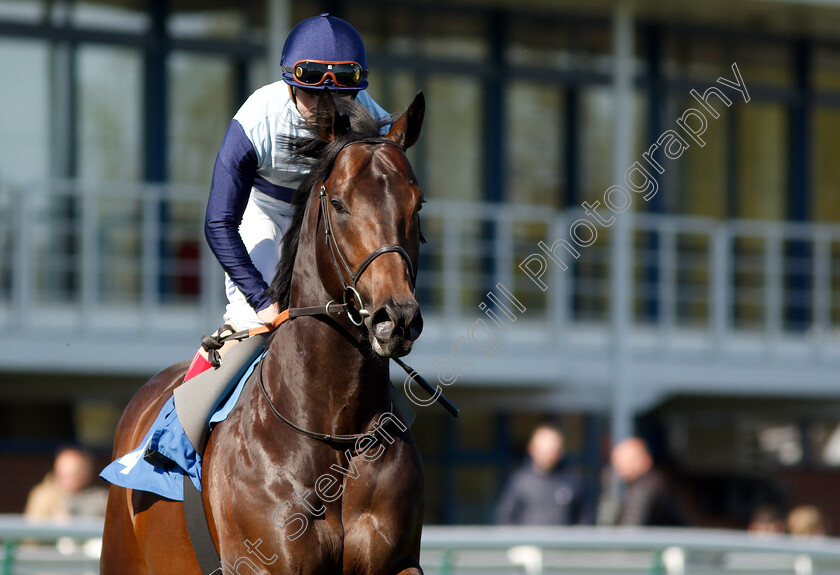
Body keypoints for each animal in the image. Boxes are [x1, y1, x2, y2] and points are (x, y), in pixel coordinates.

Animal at [101, 91, 426, 575]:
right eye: (339, 204)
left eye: (417, 204)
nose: (397, 318)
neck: (337, 432)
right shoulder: (262, 564)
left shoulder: (399, 563)